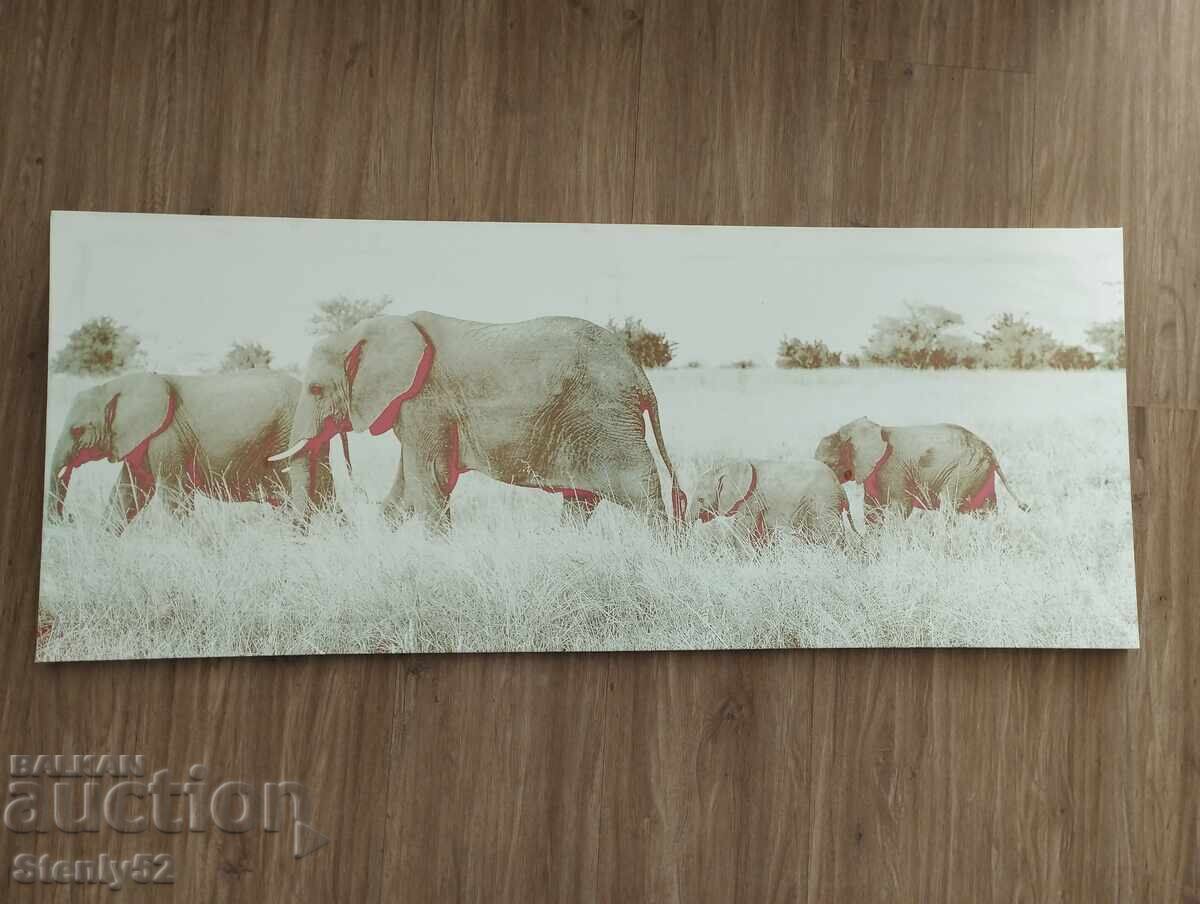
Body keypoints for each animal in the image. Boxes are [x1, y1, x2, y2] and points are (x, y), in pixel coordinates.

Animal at [45, 370, 332, 531]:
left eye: (77, 431)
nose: (68, 518)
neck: (115, 386)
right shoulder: (141, 442)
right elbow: (129, 493)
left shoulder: (166, 436)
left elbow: (172, 495)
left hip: (290, 434)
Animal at [270, 310, 686, 527]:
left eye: (315, 390)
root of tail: (639, 374)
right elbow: (407, 485)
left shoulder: (425, 404)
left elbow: (430, 479)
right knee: (579, 497)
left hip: (605, 417)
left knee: (640, 485)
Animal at [686, 458, 856, 545]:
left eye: (701, 499)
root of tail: (841, 489)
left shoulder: (751, 499)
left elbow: (742, 531)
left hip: (823, 501)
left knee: (830, 533)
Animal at [815, 417, 1029, 522]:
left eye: (830, 464)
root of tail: (989, 450)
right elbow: (871, 509)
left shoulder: (892, 467)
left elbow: (900, 508)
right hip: (979, 472)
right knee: (987, 512)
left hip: (964, 471)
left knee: (948, 507)